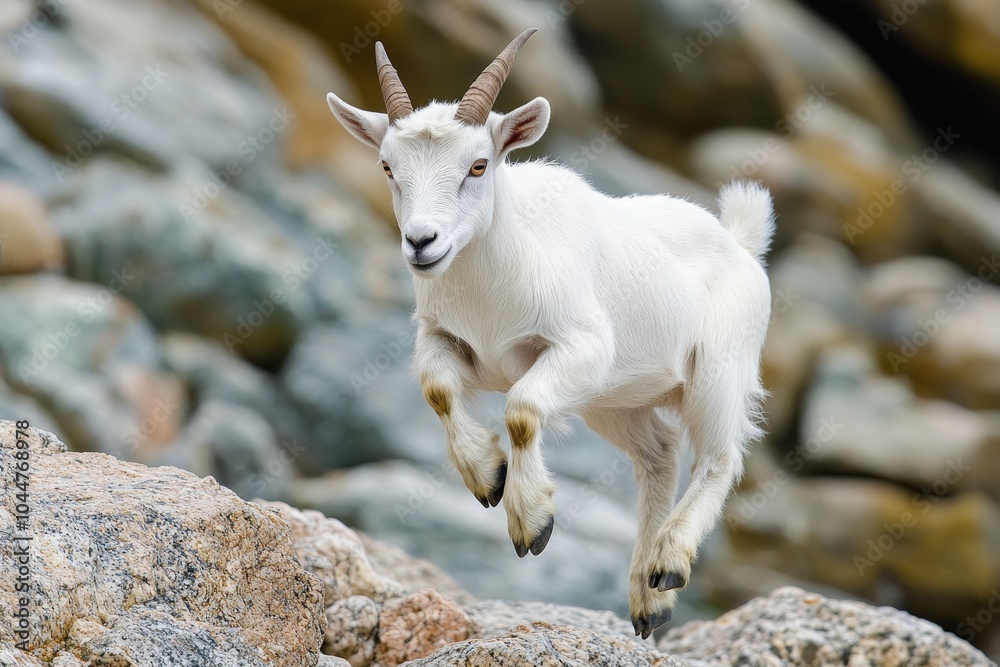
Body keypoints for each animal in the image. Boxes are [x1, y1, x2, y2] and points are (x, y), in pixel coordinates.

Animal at [326, 29, 775, 638]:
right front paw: (487, 478)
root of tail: (741, 242)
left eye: (478, 166)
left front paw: (531, 522)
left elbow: (520, 410)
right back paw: (647, 601)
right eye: (387, 167)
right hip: (616, 400)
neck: (495, 281)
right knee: (659, 454)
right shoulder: (444, 338)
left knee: (720, 456)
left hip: (717, 369)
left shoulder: (582, 347)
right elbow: (438, 389)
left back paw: (668, 562)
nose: (422, 242)